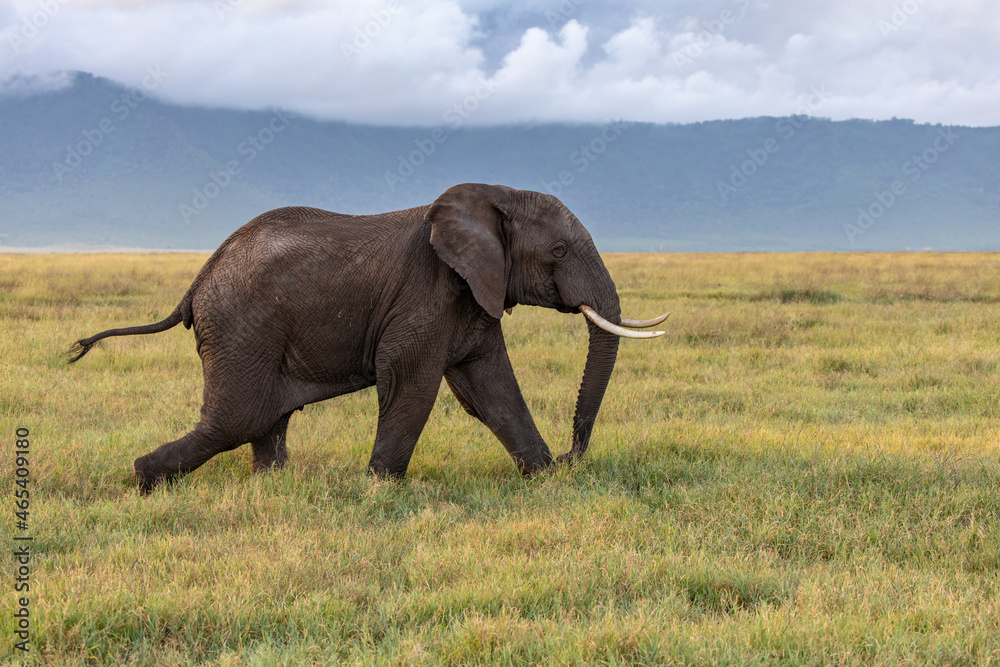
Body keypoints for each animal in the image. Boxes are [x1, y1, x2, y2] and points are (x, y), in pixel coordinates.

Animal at [70, 183, 668, 493]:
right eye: (559, 252)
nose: (570, 457)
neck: (494, 196)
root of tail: (196, 281)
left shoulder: (473, 295)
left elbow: (491, 389)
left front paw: (540, 477)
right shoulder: (427, 294)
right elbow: (411, 383)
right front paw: (381, 489)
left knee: (261, 421)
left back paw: (269, 487)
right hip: (241, 329)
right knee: (235, 420)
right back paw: (144, 480)